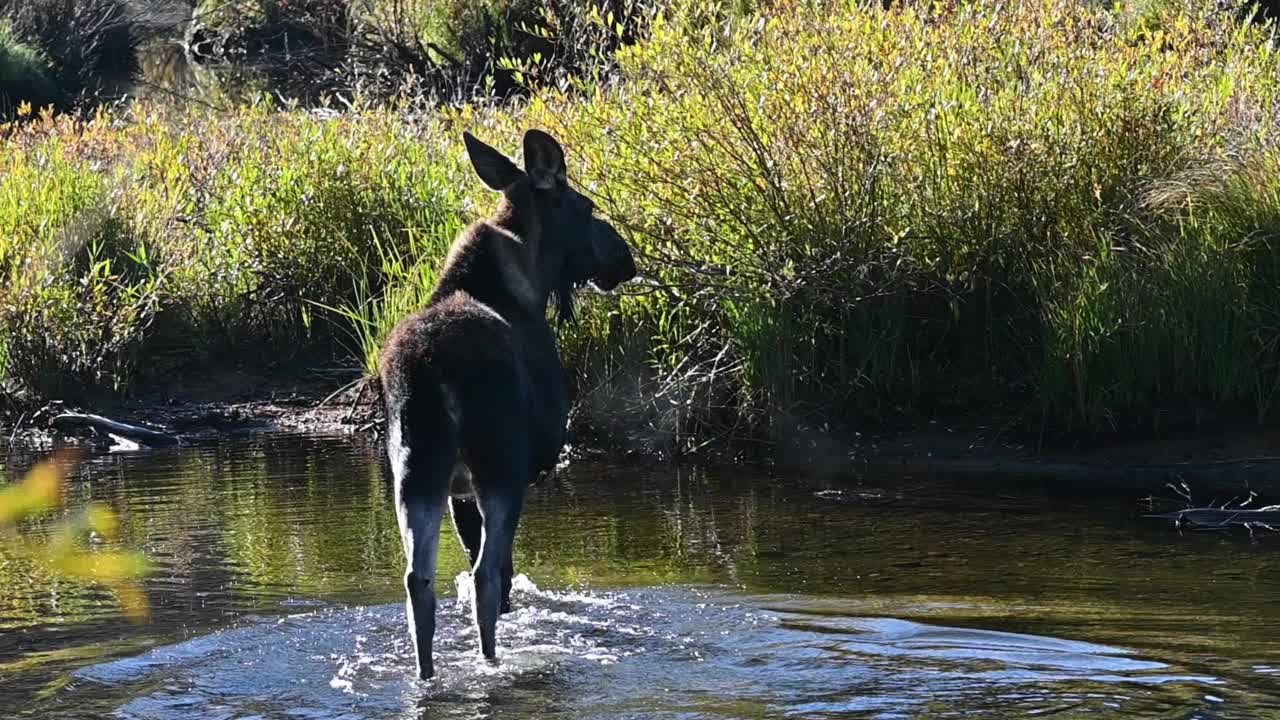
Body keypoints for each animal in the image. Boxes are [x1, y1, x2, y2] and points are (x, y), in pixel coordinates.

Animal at [378, 130, 640, 676]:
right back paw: (490, 662)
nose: (625, 258)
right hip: (499, 467)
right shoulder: (513, 473)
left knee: (418, 580)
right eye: (586, 207)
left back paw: (427, 673)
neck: (533, 282)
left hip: (415, 472)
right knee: (484, 577)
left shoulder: (457, 493)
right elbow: (505, 572)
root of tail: (431, 365)